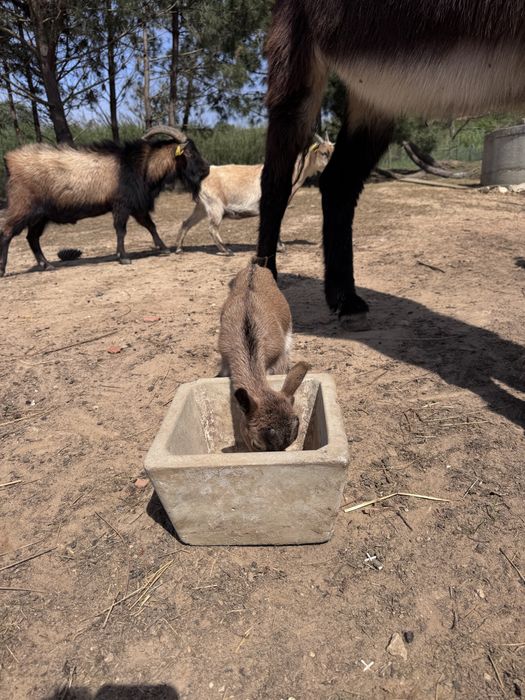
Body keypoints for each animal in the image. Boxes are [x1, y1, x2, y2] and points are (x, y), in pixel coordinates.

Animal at [0, 126, 209, 276]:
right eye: (189, 153)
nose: (205, 170)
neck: (140, 166)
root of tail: (10, 161)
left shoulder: (136, 206)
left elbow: (150, 225)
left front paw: (164, 248)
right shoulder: (122, 204)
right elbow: (121, 230)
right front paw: (123, 257)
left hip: (40, 216)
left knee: (32, 238)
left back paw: (47, 265)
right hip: (23, 208)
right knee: (7, 232)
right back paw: (3, 270)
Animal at [175, 135, 333, 255]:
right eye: (324, 152)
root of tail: (204, 175)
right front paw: (281, 248)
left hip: (202, 206)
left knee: (186, 222)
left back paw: (179, 248)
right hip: (215, 206)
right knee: (212, 228)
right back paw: (226, 250)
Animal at [256, 0, 525, 327]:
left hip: (376, 95)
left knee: (338, 182)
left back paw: (345, 300)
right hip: (296, 69)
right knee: (276, 182)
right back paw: (266, 279)